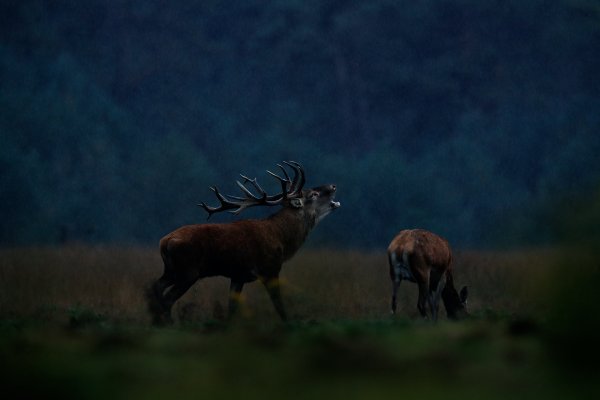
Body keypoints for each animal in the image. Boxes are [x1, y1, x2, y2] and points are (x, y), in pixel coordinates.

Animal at [148, 162, 340, 324]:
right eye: (313, 194)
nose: (333, 186)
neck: (282, 239)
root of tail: (164, 241)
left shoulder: (238, 275)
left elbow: (232, 308)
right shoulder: (270, 268)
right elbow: (279, 304)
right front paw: (288, 325)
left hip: (172, 270)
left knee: (157, 287)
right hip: (189, 271)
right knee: (167, 299)